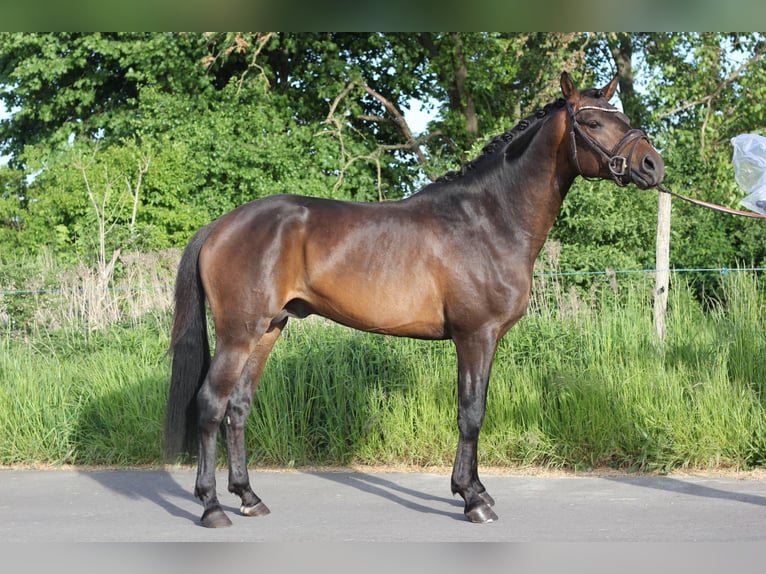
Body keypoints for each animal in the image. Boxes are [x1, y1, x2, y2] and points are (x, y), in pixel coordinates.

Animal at [166, 70, 664, 528]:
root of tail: (220, 225)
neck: (490, 218)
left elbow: (475, 409)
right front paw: (473, 499)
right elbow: (471, 413)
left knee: (238, 407)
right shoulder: (475, 335)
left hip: (268, 330)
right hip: (239, 333)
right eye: (593, 123)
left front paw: (474, 488)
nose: (653, 165)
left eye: (623, 118)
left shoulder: (486, 339)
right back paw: (212, 507)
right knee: (211, 404)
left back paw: (249, 497)